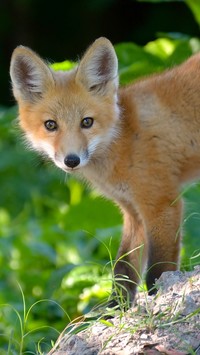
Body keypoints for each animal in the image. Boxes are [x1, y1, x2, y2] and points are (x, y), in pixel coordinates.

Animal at [9, 38, 200, 306]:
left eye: (87, 122)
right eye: (51, 125)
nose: (71, 160)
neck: (123, 139)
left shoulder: (162, 203)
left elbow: (157, 269)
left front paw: (160, 298)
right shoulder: (133, 212)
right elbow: (123, 269)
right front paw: (114, 309)